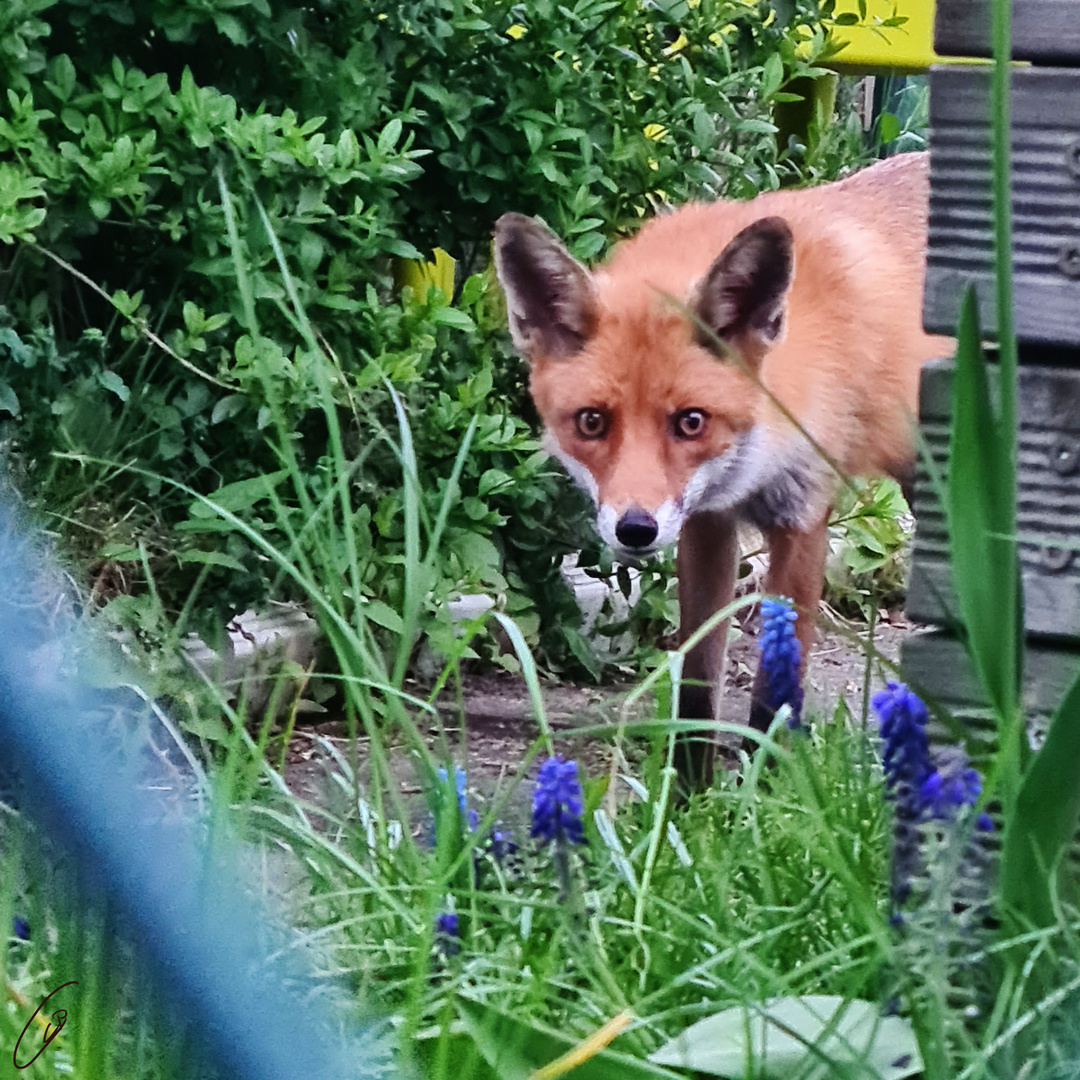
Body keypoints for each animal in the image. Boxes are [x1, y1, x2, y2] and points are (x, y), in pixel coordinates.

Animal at [494, 152, 950, 790]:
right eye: (591, 422)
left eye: (691, 422)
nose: (636, 529)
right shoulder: (706, 524)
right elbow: (696, 685)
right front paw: (688, 799)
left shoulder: (802, 516)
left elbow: (775, 693)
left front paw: (769, 790)